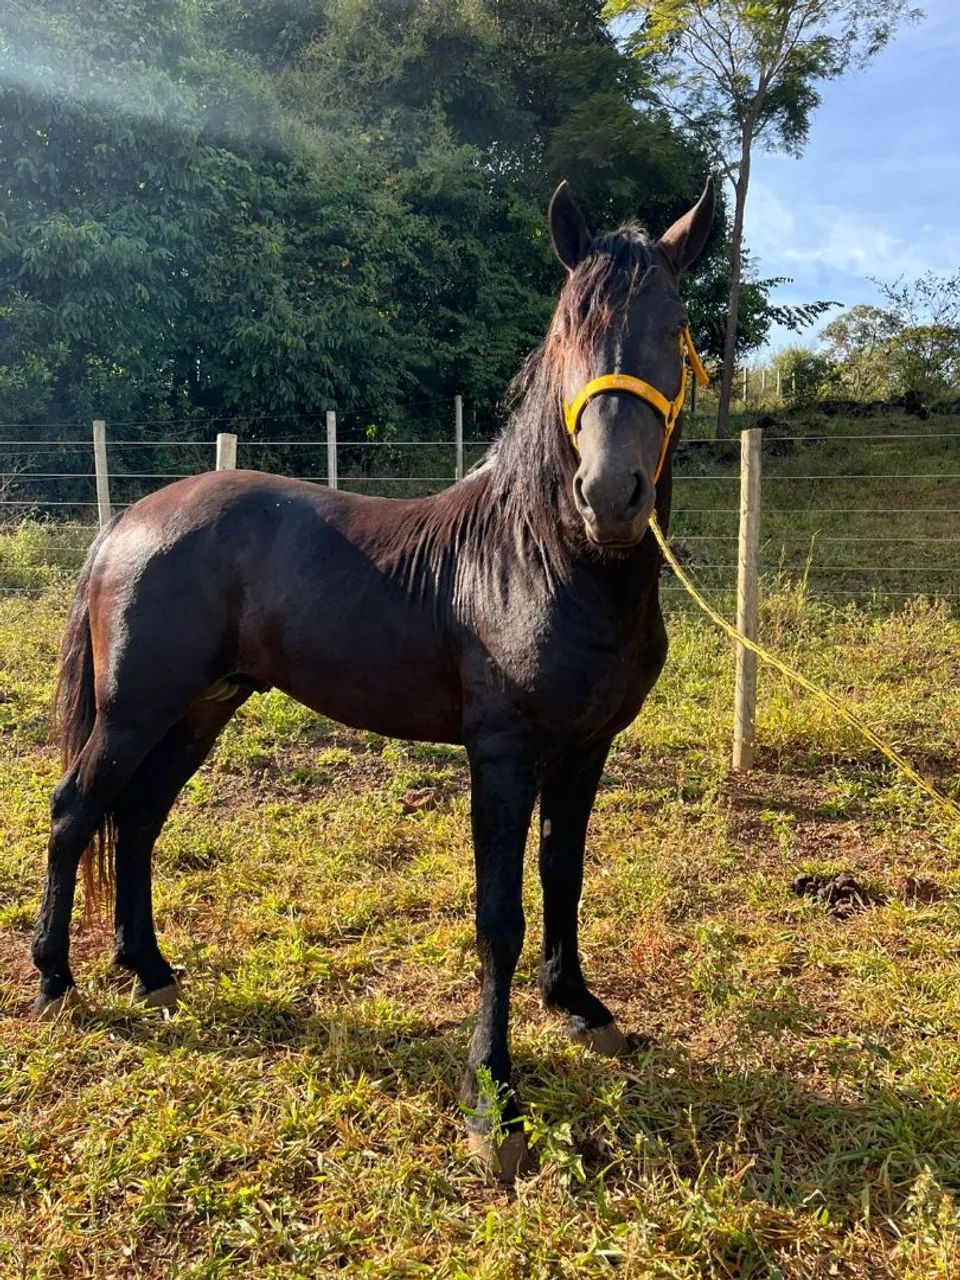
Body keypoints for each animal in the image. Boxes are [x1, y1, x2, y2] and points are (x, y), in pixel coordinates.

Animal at [32, 176, 714, 1180]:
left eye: (674, 328)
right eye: (566, 333)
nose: (609, 496)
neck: (545, 557)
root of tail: (128, 521)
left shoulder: (586, 751)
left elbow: (565, 876)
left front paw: (579, 1007)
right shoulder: (503, 757)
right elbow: (499, 917)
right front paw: (493, 1106)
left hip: (201, 709)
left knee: (141, 818)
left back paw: (150, 971)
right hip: (134, 709)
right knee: (77, 811)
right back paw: (53, 979)